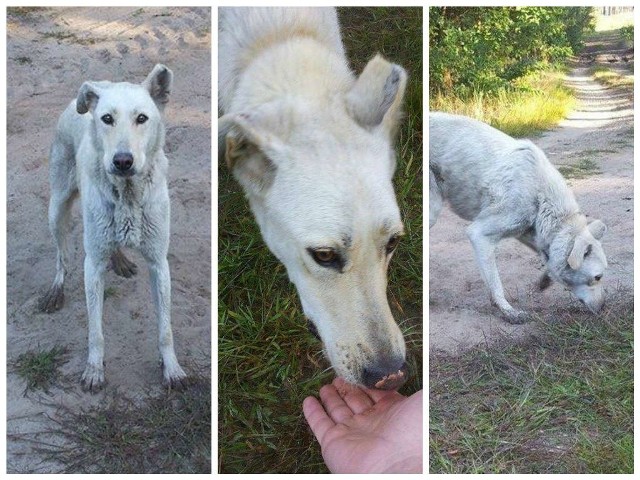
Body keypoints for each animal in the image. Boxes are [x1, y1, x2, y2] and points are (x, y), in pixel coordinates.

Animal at [40, 63, 186, 392]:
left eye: (142, 118)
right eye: (107, 119)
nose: (122, 161)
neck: (128, 196)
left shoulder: (159, 263)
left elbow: (166, 329)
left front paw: (171, 368)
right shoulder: (92, 265)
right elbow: (95, 331)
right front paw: (94, 370)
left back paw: (119, 259)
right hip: (57, 208)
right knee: (61, 256)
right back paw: (56, 288)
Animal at [430, 111, 604, 322]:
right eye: (597, 277)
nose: (604, 308)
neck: (542, 200)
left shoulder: (529, 233)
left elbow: (546, 259)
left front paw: (544, 280)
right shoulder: (480, 234)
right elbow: (496, 285)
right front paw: (508, 311)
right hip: (433, 209)